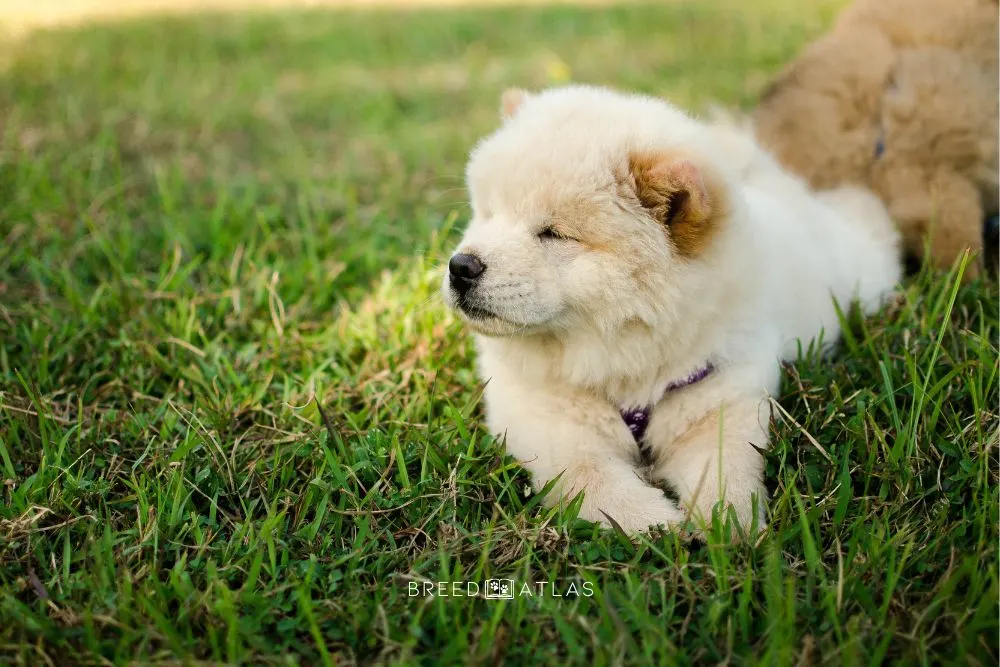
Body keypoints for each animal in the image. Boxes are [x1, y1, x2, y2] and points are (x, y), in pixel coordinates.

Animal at [442, 86, 904, 536]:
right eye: (487, 215)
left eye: (553, 234)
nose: (460, 266)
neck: (622, 360)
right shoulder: (544, 417)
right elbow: (588, 476)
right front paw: (653, 523)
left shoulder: (720, 394)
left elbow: (726, 468)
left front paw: (728, 528)